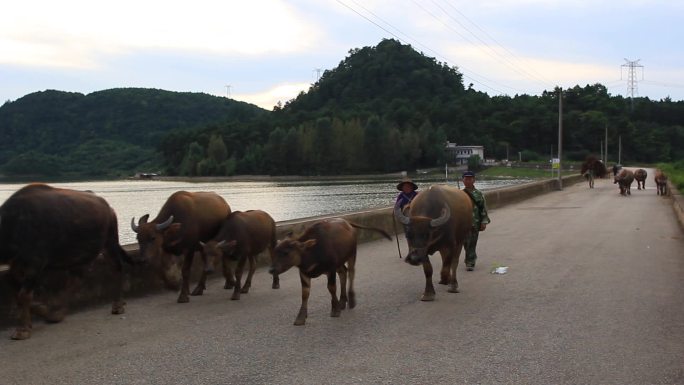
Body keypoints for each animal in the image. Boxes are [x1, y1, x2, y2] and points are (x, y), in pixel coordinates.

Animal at [0, 182, 139, 338]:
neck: (11, 224)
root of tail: (109, 208)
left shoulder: (35, 264)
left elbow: (23, 295)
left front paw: (23, 329)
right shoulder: (16, 264)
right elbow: (16, 291)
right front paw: (43, 311)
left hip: (110, 242)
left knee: (117, 268)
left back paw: (117, 305)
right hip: (80, 256)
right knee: (76, 279)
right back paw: (58, 313)